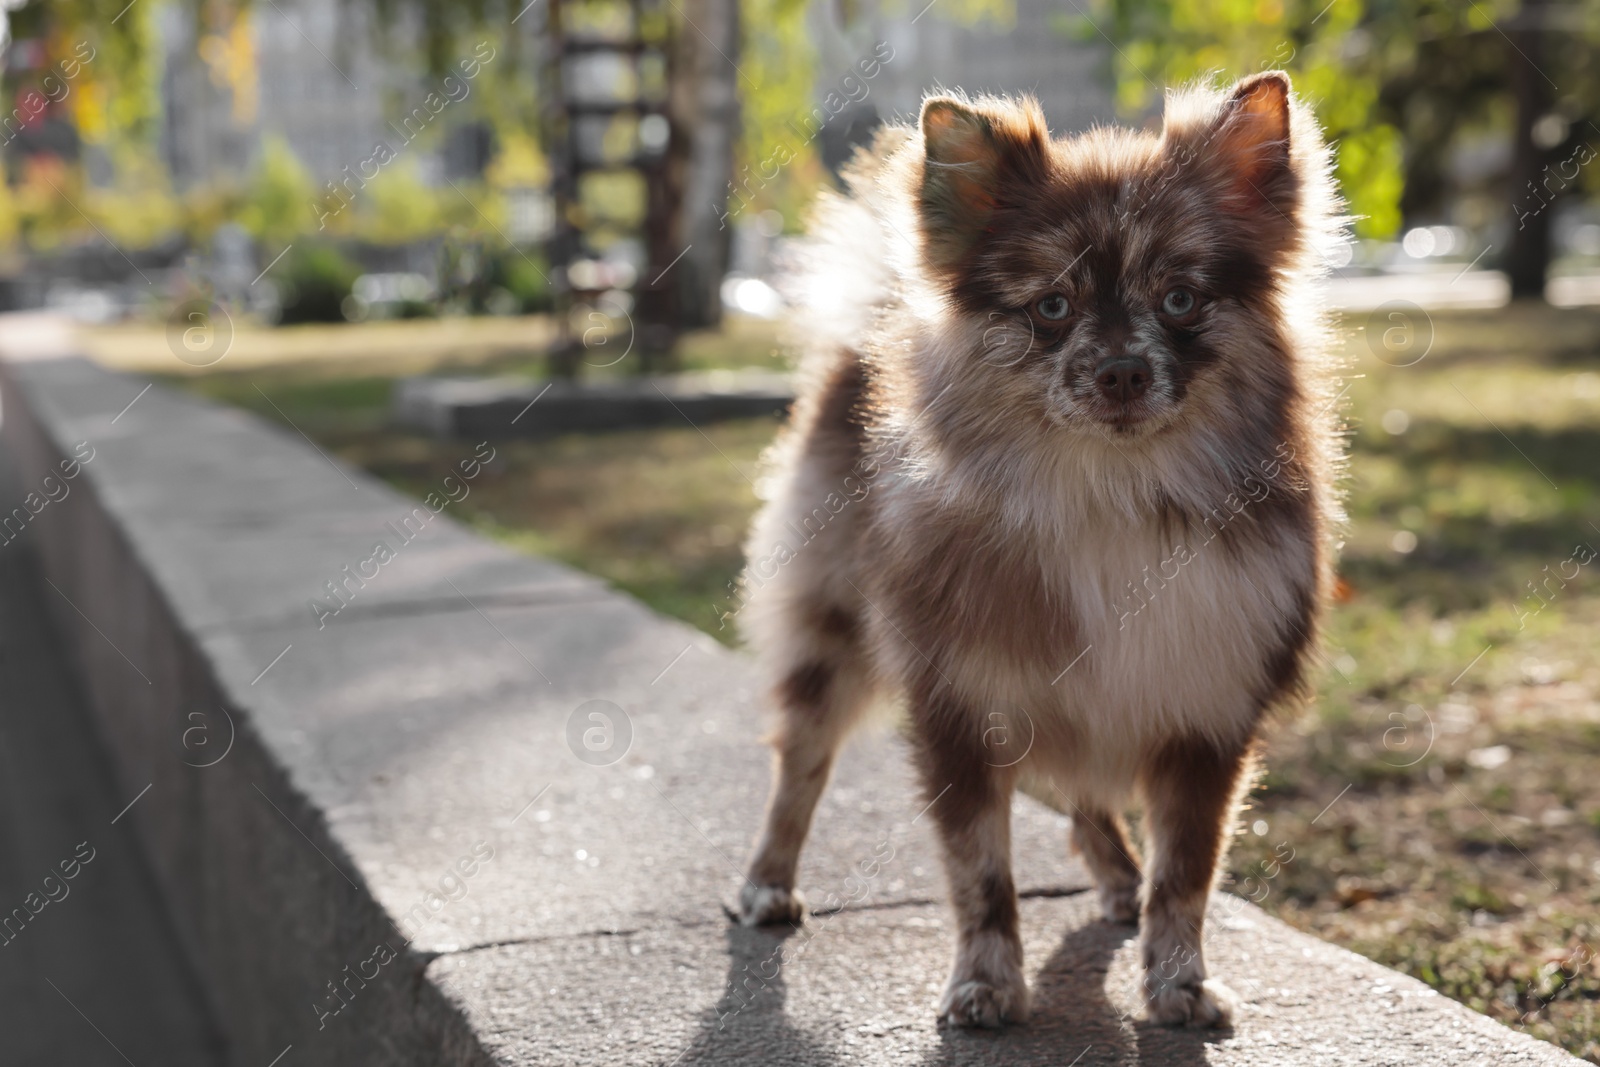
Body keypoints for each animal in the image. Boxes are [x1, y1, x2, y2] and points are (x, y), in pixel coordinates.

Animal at [732, 70, 1344, 1030]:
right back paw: (768, 880)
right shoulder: (960, 701)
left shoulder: (1203, 709)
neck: (1109, 493)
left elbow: (1186, 875)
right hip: (833, 630)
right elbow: (982, 871)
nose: (1123, 370)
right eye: (1051, 307)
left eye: (1180, 299)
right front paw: (986, 983)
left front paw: (1178, 982)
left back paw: (1117, 875)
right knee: (802, 756)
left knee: (1087, 794)